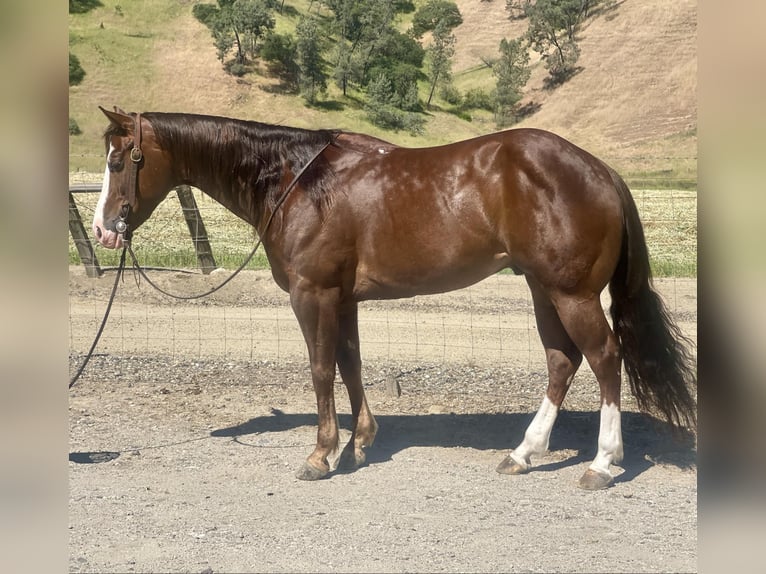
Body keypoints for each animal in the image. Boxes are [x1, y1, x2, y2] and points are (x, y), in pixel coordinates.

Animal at [94, 107, 696, 490]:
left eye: (120, 160)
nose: (104, 231)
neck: (298, 182)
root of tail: (602, 170)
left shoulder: (313, 295)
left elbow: (320, 369)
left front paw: (321, 455)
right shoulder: (344, 299)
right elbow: (351, 364)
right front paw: (360, 444)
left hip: (571, 293)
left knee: (605, 359)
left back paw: (602, 463)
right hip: (542, 288)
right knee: (562, 362)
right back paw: (523, 454)